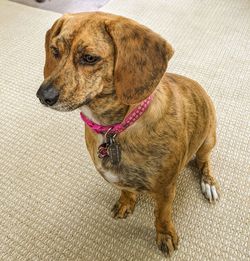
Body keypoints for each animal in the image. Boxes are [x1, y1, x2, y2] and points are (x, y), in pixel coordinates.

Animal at [36, 12, 220, 256]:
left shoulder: (165, 190)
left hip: (208, 140)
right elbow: (125, 191)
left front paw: (165, 235)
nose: (43, 96)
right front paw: (126, 202)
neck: (113, 130)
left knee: (204, 162)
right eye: (55, 51)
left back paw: (208, 183)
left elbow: (162, 216)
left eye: (89, 58)